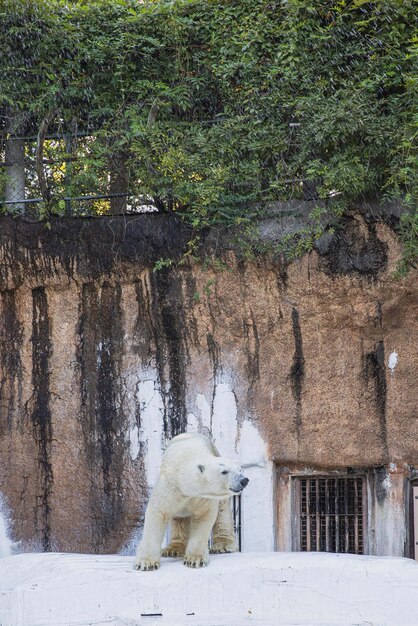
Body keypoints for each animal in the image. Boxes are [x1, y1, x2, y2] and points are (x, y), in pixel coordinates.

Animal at [133, 432, 248, 568]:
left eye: (239, 469)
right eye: (224, 471)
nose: (244, 480)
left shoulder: (203, 497)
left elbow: (203, 517)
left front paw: (195, 559)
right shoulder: (171, 486)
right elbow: (158, 513)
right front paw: (145, 563)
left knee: (222, 512)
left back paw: (223, 545)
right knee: (179, 520)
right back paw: (173, 549)